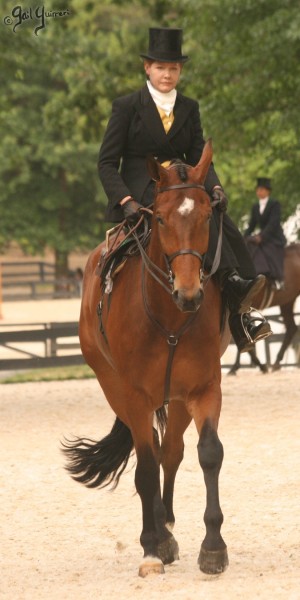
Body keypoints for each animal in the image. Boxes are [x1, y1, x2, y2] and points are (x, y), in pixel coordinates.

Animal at [63, 141, 232, 576]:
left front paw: (213, 547)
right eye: (159, 218)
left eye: (207, 214)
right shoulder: (135, 396)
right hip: (114, 387)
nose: (189, 293)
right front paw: (152, 548)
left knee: (169, 451)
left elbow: (209, 453)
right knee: (150, 455)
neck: (168, 315)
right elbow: (143, 468)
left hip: (176, 398)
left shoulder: (203, 388)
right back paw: (157, 538)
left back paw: (167, 527)